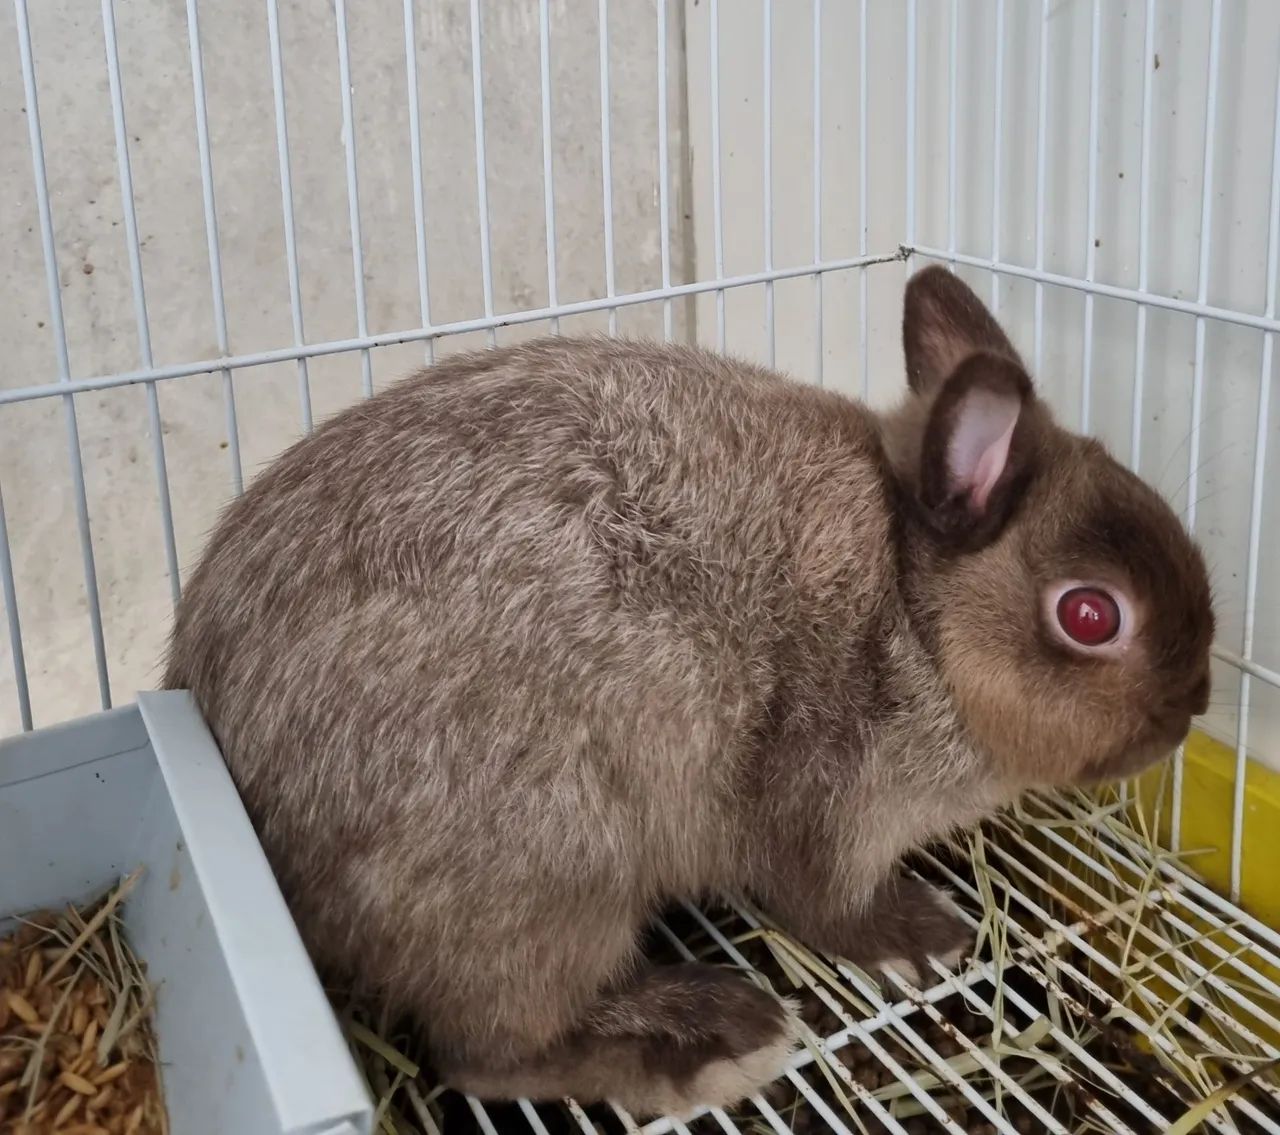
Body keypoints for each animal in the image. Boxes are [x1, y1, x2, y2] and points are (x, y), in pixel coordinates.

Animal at [164, 266, 1213, 1117]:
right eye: (1090, 614)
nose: (1194, 705)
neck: (916, 610)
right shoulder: (829, 798)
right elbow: (825, 904)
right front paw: (924, 936)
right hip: (555, 871)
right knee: (486, 1053)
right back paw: (713, 1041)